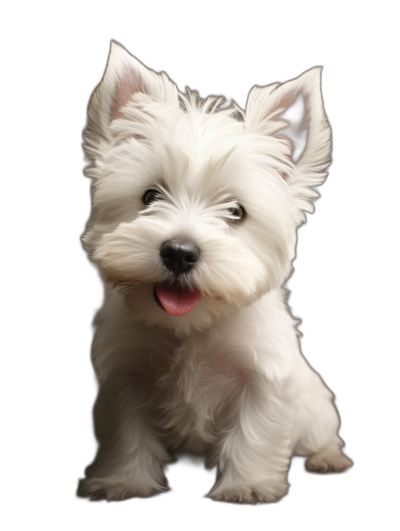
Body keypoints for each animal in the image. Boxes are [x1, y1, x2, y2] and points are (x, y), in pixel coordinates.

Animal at [78, 42, 354, 508]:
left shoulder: (263, 376)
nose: (179, 252)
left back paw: (328, 459)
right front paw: (122, 482)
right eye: (150, 196)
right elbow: (124, 431)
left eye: (236, 211)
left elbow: (255, 432)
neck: (192, 326)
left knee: (324, 434)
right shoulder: (124, 372)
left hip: (316, 406)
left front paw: (248, 486)